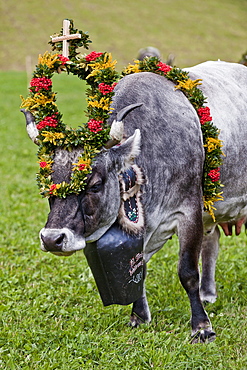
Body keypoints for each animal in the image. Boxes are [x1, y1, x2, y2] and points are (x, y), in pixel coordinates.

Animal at [21, 59, 247, 342]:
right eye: (46, 187)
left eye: (94, 185)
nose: (52, 239)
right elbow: (140, 270)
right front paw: (139, 316)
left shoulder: (189, 212)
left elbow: (187, 272)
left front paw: (202, 327)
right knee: (212, 240)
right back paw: (208, 293)